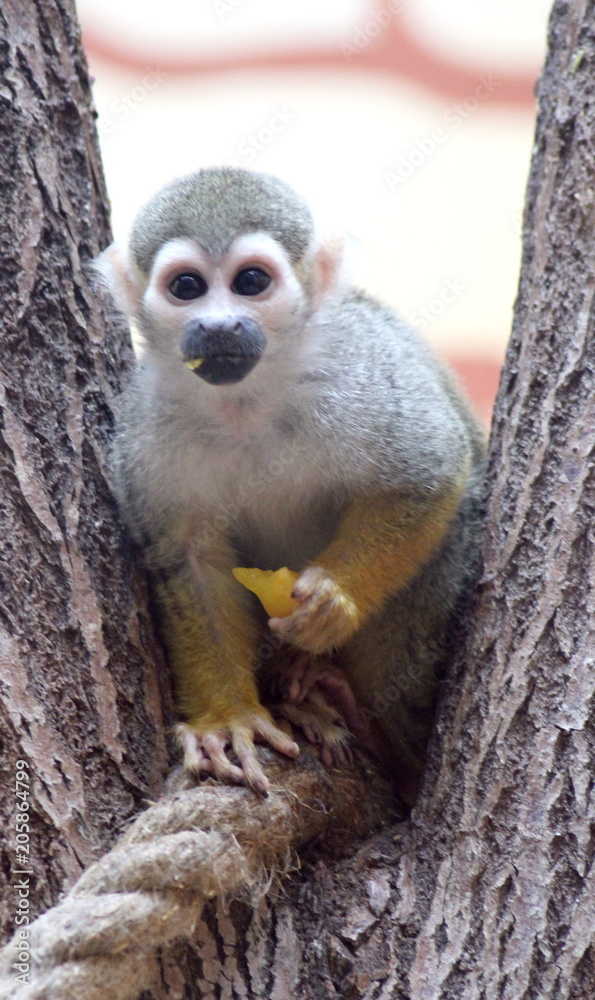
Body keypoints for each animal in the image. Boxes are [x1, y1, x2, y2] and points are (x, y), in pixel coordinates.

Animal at [97, 167, 486, 801]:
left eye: (251, 281)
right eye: (188, 287)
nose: (219, 326)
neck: (245, 402)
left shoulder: (352, 376)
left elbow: (429, 473)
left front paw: (334, 599)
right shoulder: (147, 430)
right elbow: (192, 562)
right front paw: (227, 718)